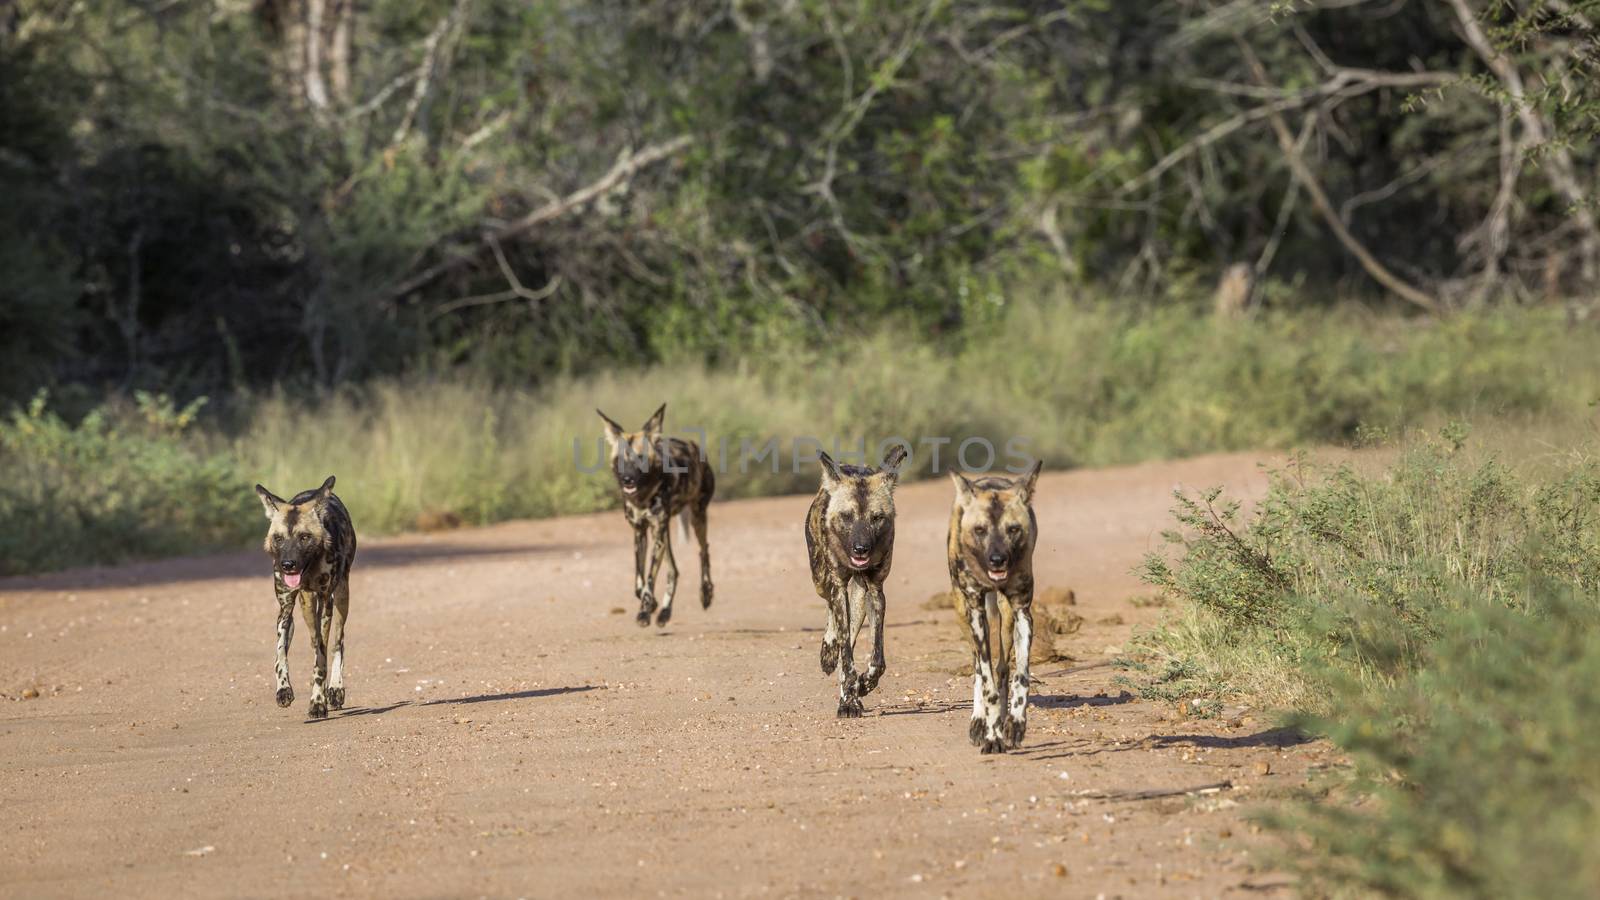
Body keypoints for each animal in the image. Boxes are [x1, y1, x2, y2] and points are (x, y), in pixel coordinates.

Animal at [256, 474, 360, 717]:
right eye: (278, 538)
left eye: (304, 537)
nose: (287, 565)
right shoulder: (289, 608)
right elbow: (280, 653)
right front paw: (284, 690)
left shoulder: (324, 601)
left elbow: (322, 654)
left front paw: (318, 701)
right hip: (301, 606)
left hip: (341, 598)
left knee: (337, 642)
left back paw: (335, 688)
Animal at [598, 403, 716, 627]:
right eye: (620, 460)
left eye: (640, 458)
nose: (627, 479)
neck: (642, 497)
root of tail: (694, 446)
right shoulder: (640, 533)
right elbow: (639, 582)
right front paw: (651, 605)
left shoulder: (656, 534)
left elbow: (649, 581)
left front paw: (644, 612)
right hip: (662, 532)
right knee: (674, 570)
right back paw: (665, 612)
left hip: (696, 517)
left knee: (704, 550)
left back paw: (705, 593)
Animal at [806, 445, 908, 714]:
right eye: (847, 516)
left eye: (877, 518)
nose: (861, 549)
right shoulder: (838, 586)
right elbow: (846, 657)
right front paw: (850, 692)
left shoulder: (875, 591)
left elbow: (877, 660)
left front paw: (861, 686)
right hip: (822, 582)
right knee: (833, 617)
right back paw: (829, 651)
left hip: (860, 597)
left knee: (850, 634)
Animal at [940, 461, 1043, 749]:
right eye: (980, 530)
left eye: (1013, 529)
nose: (997, 560)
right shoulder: (975, 613)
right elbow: (987, 684)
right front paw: (992, 733)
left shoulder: (1021, 611)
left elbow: (1021, 676)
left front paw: (1015, 723)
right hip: (964, 612)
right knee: (978, 665)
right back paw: (979, 720)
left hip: (1005, 619)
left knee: (1002, 668)